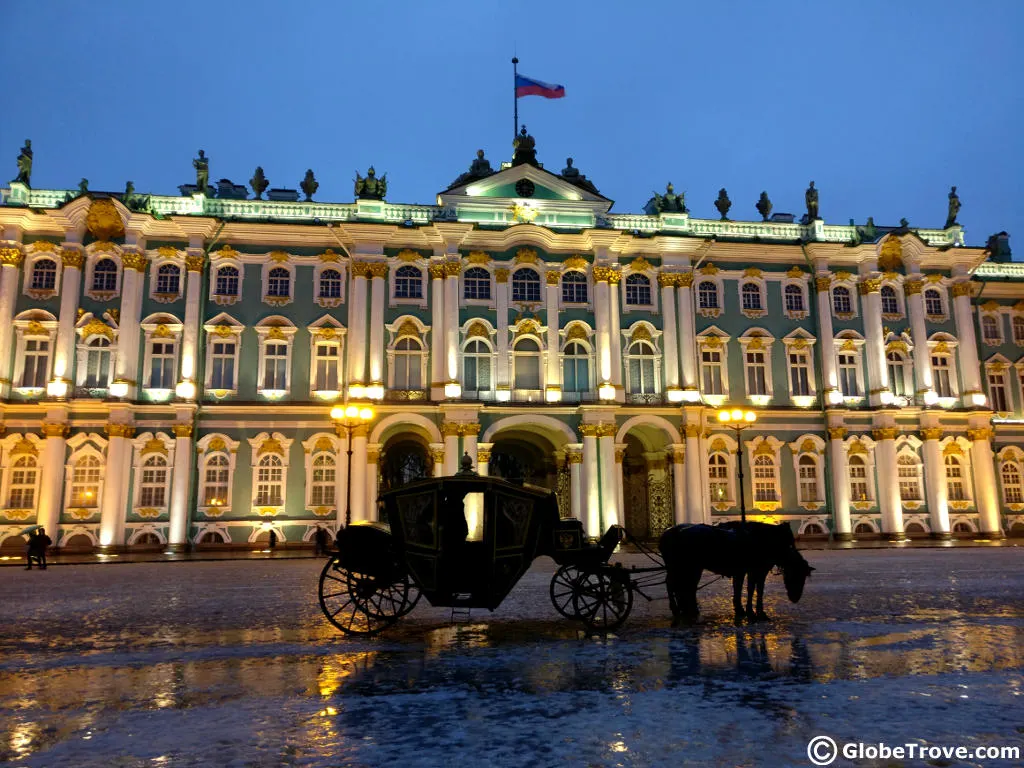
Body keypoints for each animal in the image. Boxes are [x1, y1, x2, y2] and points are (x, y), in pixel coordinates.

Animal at [655, 524, 815, 626]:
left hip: (688, 568)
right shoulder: (755, 570)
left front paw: (746, 611)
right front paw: (754, 613)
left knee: (683, 587)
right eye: (797, 575)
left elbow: (748, 589)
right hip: (686, 568)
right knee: (676, 585)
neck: (765, 541)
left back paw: (687, 610)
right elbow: (752, 590)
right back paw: (679, 609)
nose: (795, 598)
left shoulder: (748, 571)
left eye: (804, 577)